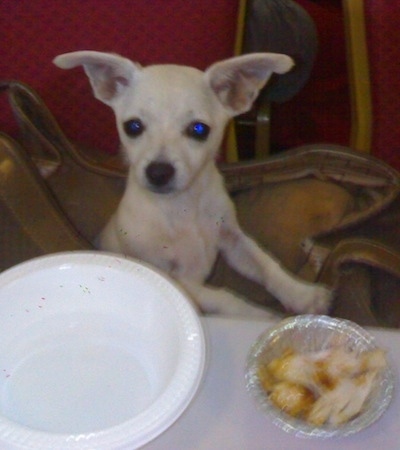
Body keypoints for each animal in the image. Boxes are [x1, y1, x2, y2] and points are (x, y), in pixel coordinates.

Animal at [54, 51, 332, 318]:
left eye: (199, 130)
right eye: (132, 126)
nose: (158, 172)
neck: (181, 206)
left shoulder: (233, 240)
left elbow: (265, 264)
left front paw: (302, 295)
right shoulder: (174, 279)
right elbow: (225, 297)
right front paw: (260, 317)